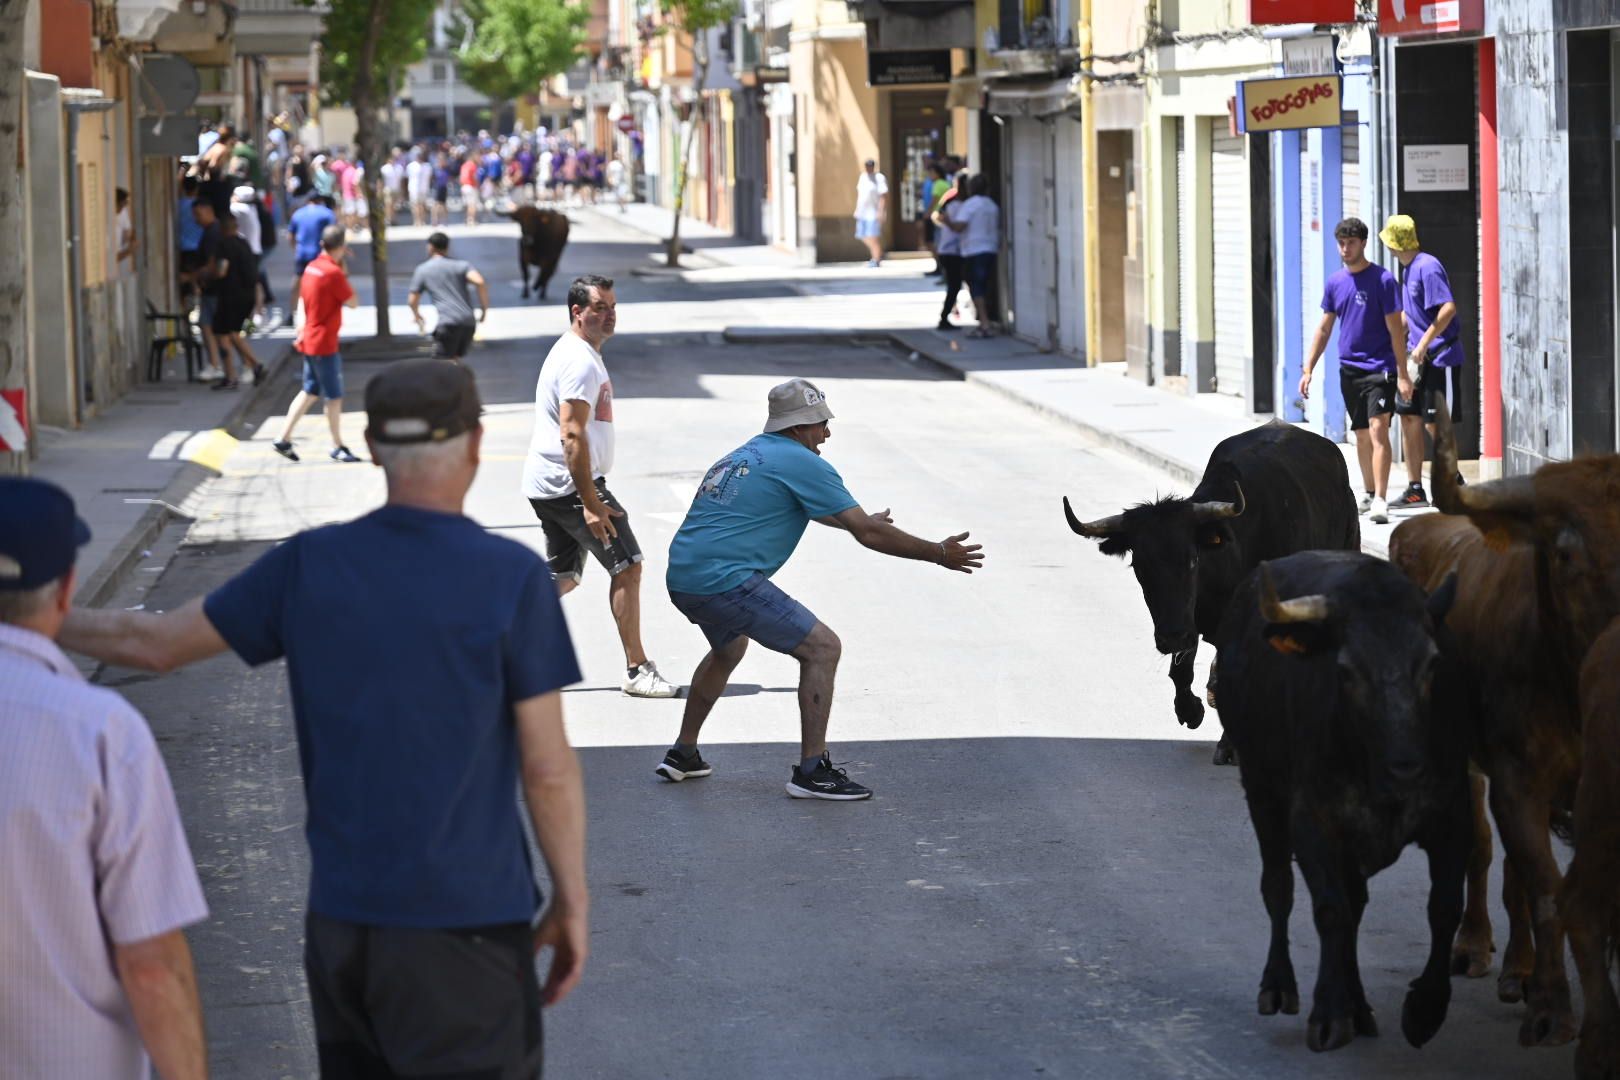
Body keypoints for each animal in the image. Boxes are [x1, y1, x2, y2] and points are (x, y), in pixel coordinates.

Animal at [1056, 417, 1360, 764]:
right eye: (1139, 567)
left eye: (1192, 560)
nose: (1171, 637)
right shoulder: (1192, 623)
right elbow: (1182, 673)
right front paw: (1191, 710)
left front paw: (1229, 744)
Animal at [1386, 409, 1620, 1049]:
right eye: (1565, 555)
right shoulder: (1517, 783)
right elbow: (1545, 889)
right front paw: (1553, 1010)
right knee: (1484, 849)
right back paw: (1476, 947)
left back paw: (1519, 968)